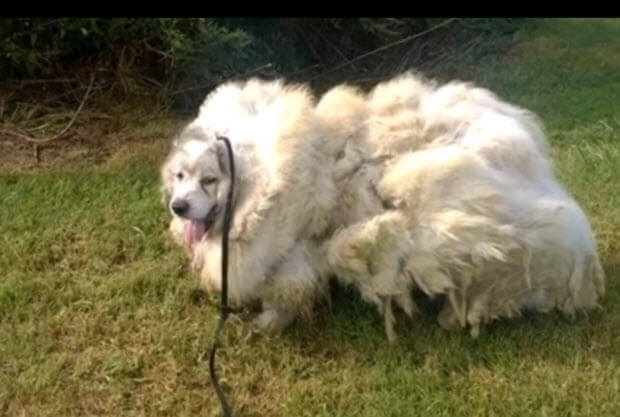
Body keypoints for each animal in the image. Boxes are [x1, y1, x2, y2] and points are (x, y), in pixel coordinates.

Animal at [161, 73, 604, 340]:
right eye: (179, 176)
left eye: (209, 180)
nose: (179, 207)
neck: (256, 180)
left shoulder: (295, 254)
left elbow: (286, 292)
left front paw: (268, 324)